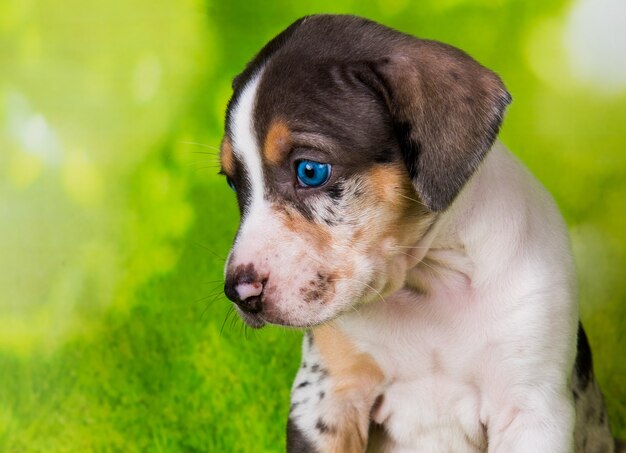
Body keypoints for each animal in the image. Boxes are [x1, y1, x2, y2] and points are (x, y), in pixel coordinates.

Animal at [219, 14, 620, 452]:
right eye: (233, 183)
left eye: (310, 170)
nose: (239, 292)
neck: (429, 279)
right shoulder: (326, 397)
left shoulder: (530, 411)